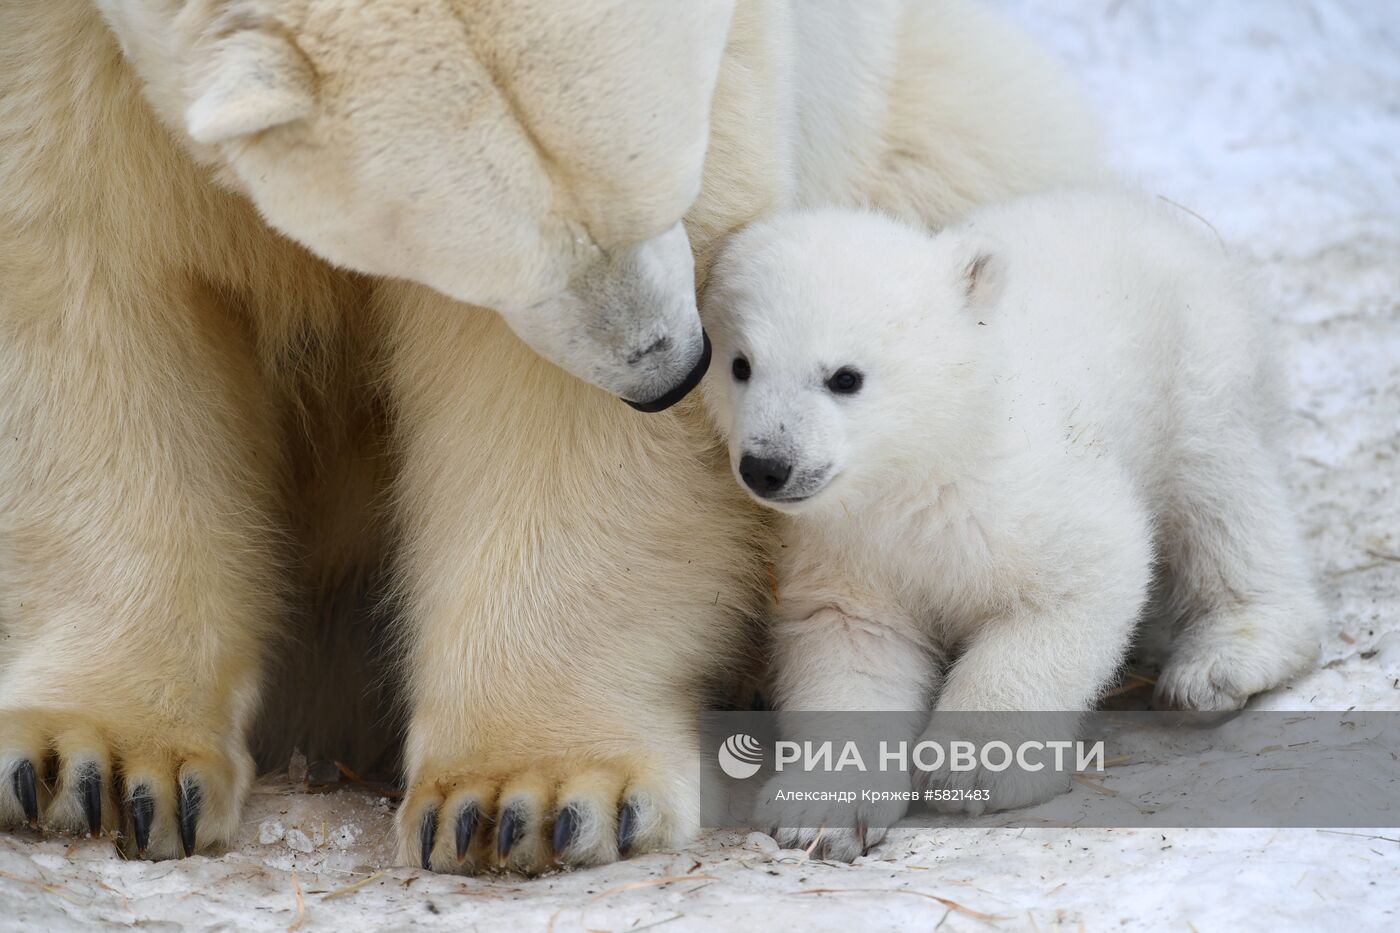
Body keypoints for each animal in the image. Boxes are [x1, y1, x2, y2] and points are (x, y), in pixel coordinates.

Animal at [0, 1, 1092, 874]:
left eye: (664, 171)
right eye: (488, 254)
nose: (672, 370)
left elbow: (551, 416)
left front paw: (527, 797)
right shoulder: (64, 52)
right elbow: (86, 292)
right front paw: (94, 765)